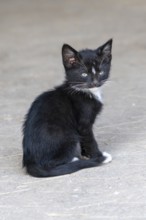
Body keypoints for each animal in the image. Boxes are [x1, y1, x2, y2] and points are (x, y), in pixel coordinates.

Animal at [22, 39, 113, 177]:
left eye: (101, 72)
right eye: (84, 74)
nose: (95, 82)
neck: (84, 91)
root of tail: (30, 162)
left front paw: (87, 155)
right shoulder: (83, 124)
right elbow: (90, 141)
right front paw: (98, 156)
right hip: (69, 136)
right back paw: (75, 160)